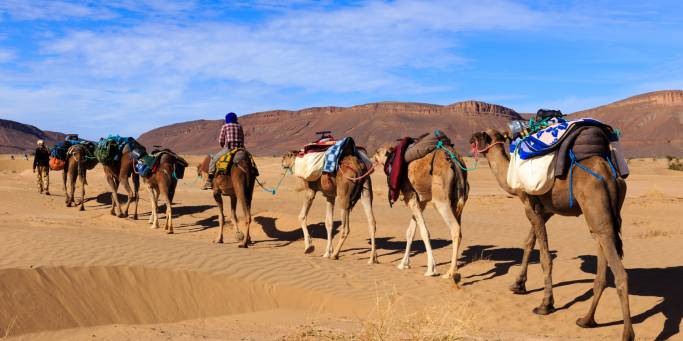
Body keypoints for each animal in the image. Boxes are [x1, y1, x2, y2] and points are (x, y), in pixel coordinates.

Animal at [374, 141, 470, 282]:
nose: (372, 158)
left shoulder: (410, 196)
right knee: (459, 228)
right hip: (458, 201)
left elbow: (424, 232)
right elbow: (410, 232)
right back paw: (455, 269)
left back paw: (450, 273)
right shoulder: (420, 201)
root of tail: (455, 162)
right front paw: (403, 264)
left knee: (455, 229)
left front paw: (431, 269)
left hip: (440, 200)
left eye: (378, 152)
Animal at [470, 129, 636, 338]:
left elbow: (544, 257)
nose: (470, 139)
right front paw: (518, 284)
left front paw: (545, 304)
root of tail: (610, 175)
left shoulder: (531, 207)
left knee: (620, 273)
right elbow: (528, 242)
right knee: (601, 251)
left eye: (480, 135)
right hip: (601, 216)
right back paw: (586, 320)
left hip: (596, 206)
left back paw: (626, 334)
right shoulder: (546, 210)